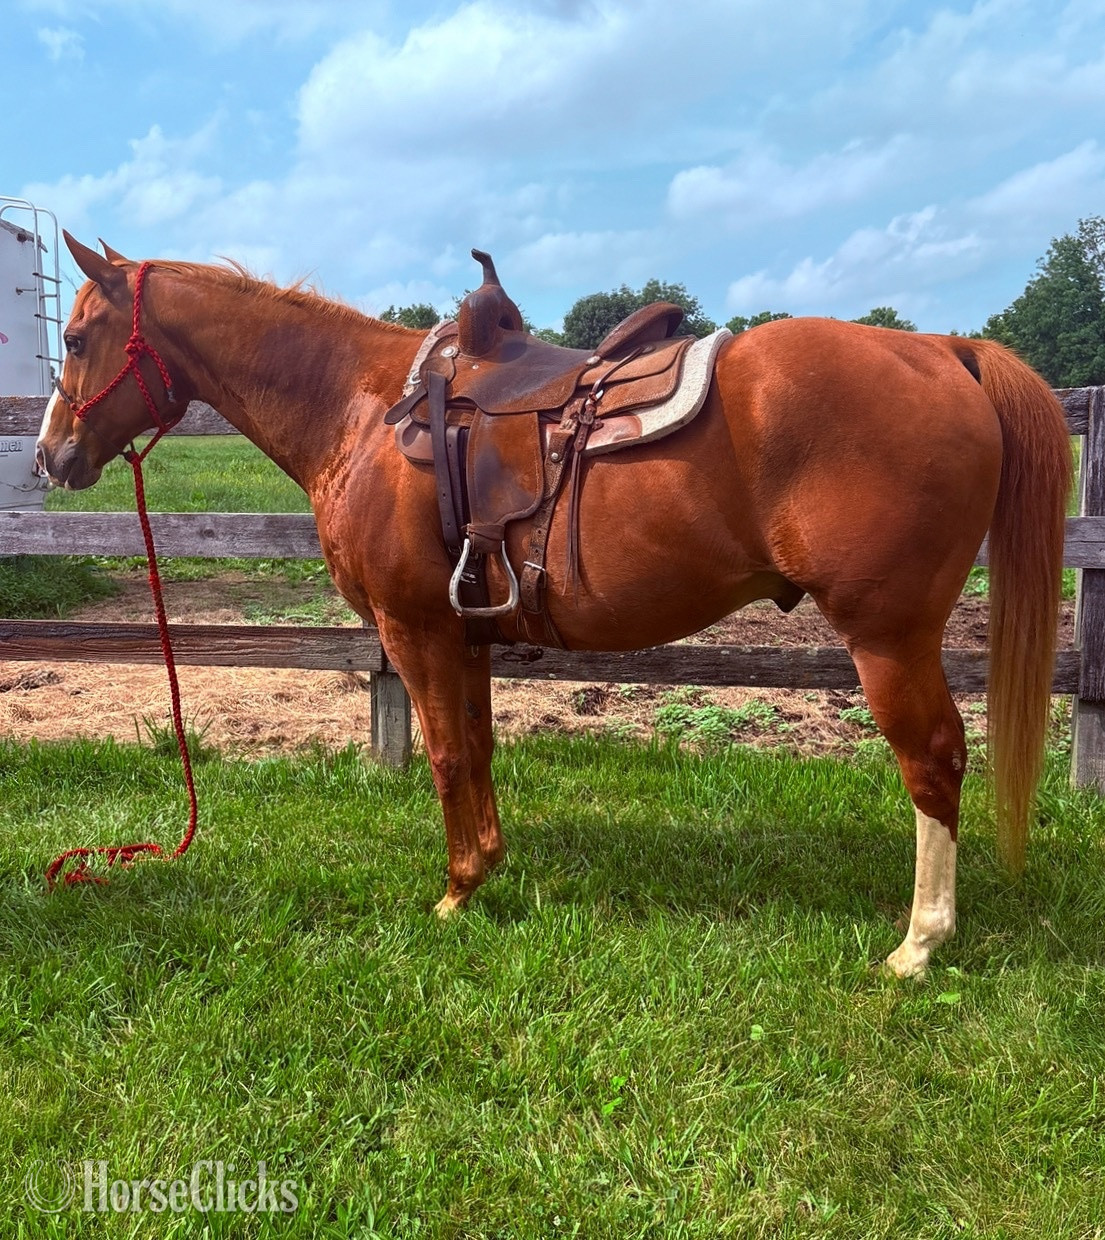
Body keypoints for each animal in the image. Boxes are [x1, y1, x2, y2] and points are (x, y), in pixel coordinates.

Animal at [36, 233, 1072, 977]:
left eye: (77, 339)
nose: (51, 457)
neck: (362, 410)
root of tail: (942, 351)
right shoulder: (467, 631)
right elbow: (479, 746)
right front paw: (488, 867)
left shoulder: (415, 628)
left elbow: (446, 755)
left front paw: (455, 892)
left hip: (886, 636)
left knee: (932, 762)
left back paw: (918, 945)